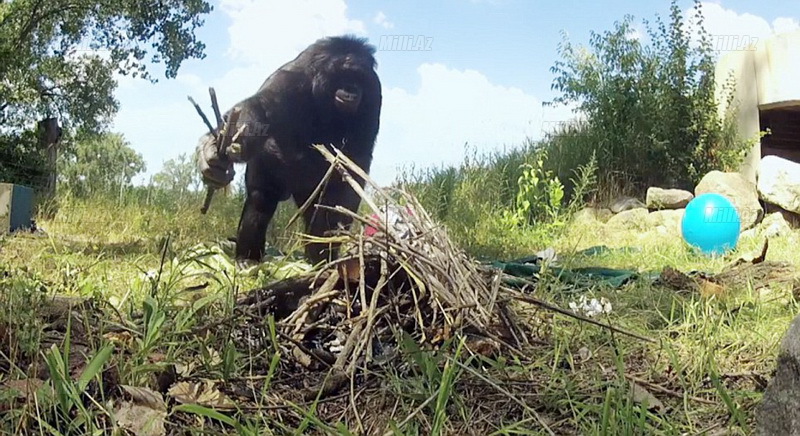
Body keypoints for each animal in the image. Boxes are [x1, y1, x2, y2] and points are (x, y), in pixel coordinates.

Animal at [195, 34, 382, 264]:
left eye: (359, 77)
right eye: (344, 74)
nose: (351, 89)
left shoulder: (373, 95)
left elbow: (355, 164)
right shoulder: (288, 81)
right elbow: (259, 107)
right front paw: (212, 155)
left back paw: (320, 260)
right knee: (260, 200)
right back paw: (248, 258)